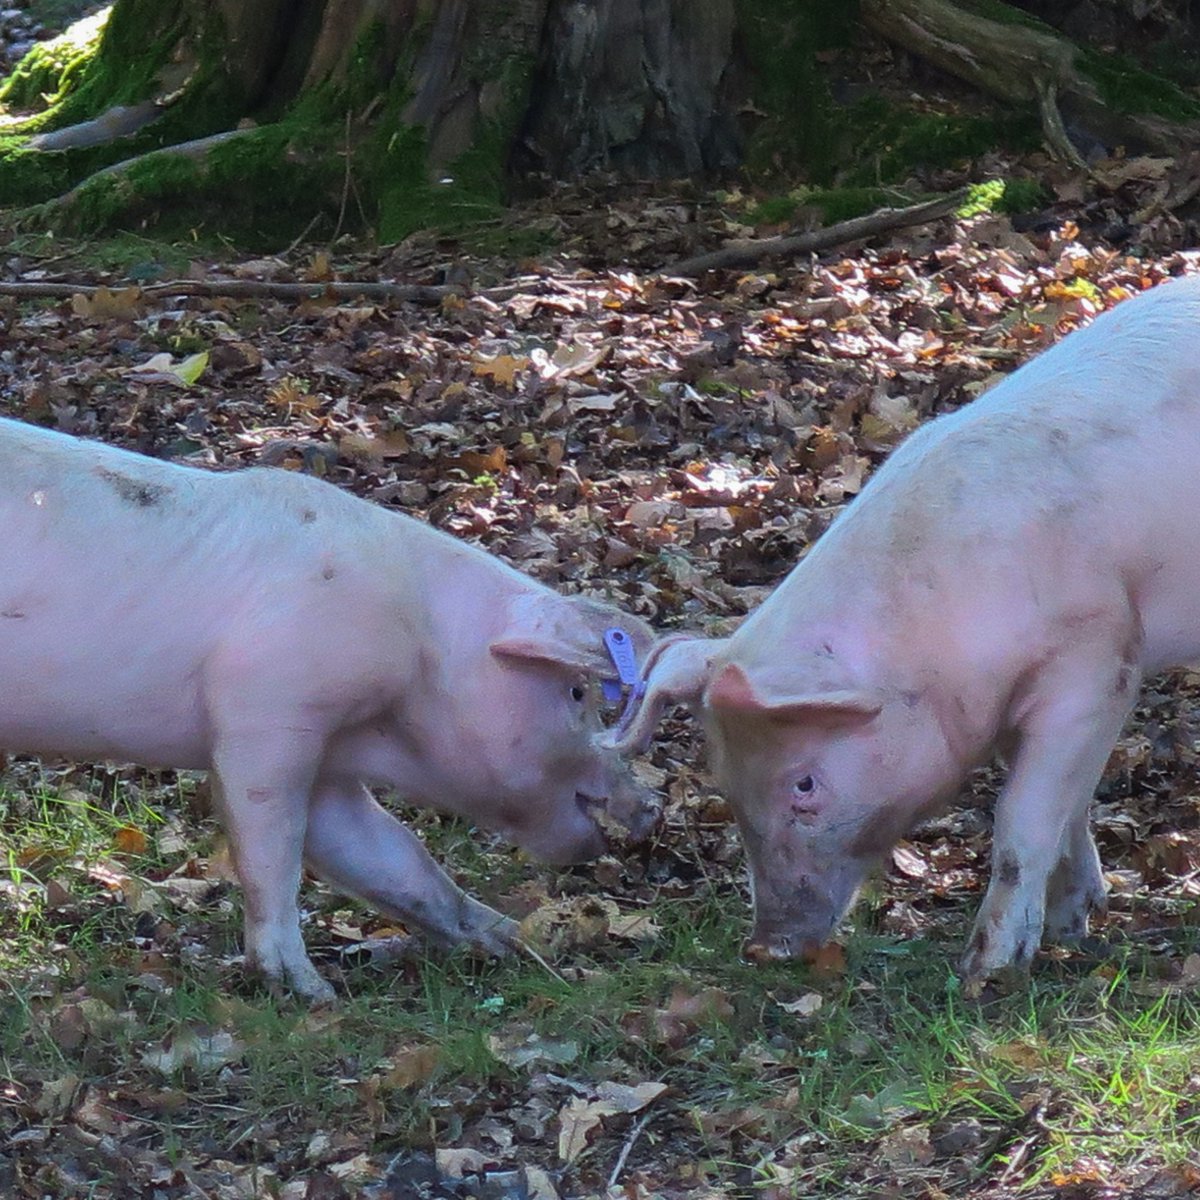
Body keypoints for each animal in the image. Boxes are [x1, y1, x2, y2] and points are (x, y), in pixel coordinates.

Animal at [0, 417, 657, 1002]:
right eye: (577, 694)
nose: (651, 807)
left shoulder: (331, 763)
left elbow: (392, 854)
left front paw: (516, 942)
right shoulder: (267, 713)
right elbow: (273, 848)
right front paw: (311, 993)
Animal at [611, 275, 1200, 987]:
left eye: (804, 784)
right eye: (722, 778)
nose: (763, 948)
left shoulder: (1098, 655)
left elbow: (1023, 817)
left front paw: (984, 972)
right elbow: (1071, 808)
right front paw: (1072, 926)